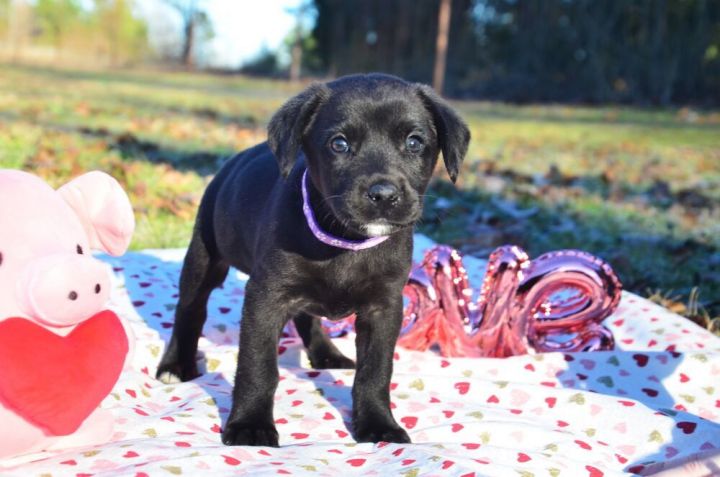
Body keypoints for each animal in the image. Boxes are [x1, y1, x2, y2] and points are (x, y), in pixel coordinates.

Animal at [157, 72, 470, 444]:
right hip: (204, 257)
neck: (347, 241)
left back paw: (327, 354)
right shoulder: (266, 297)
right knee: (189, 309)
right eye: (339, 144)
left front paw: (379, 424)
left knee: (309, 317)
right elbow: (257, 365)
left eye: (413, 142)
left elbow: (376, 370)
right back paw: (176, 366)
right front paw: (250, 424)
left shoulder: (384, 307)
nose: (383, 195)